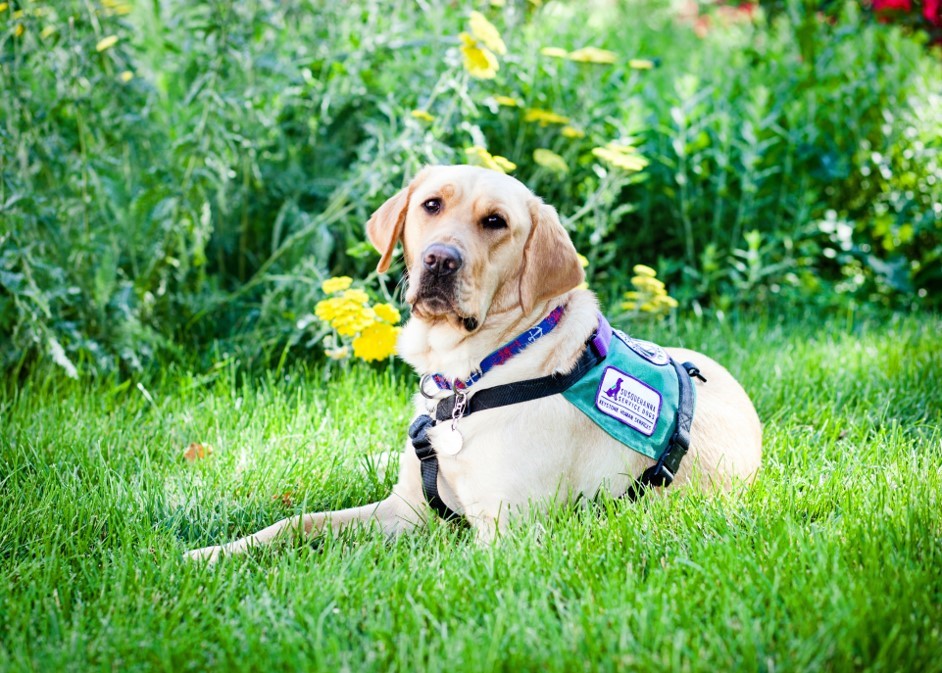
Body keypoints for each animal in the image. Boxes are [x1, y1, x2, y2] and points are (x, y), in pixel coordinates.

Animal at [186, 165, 768, 560]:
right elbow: (296, 524)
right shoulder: (405, 507)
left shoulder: (506, 533)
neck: (470, 378)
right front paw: (209, 554)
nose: (440, 260)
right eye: (431, 205)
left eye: (495, 222)